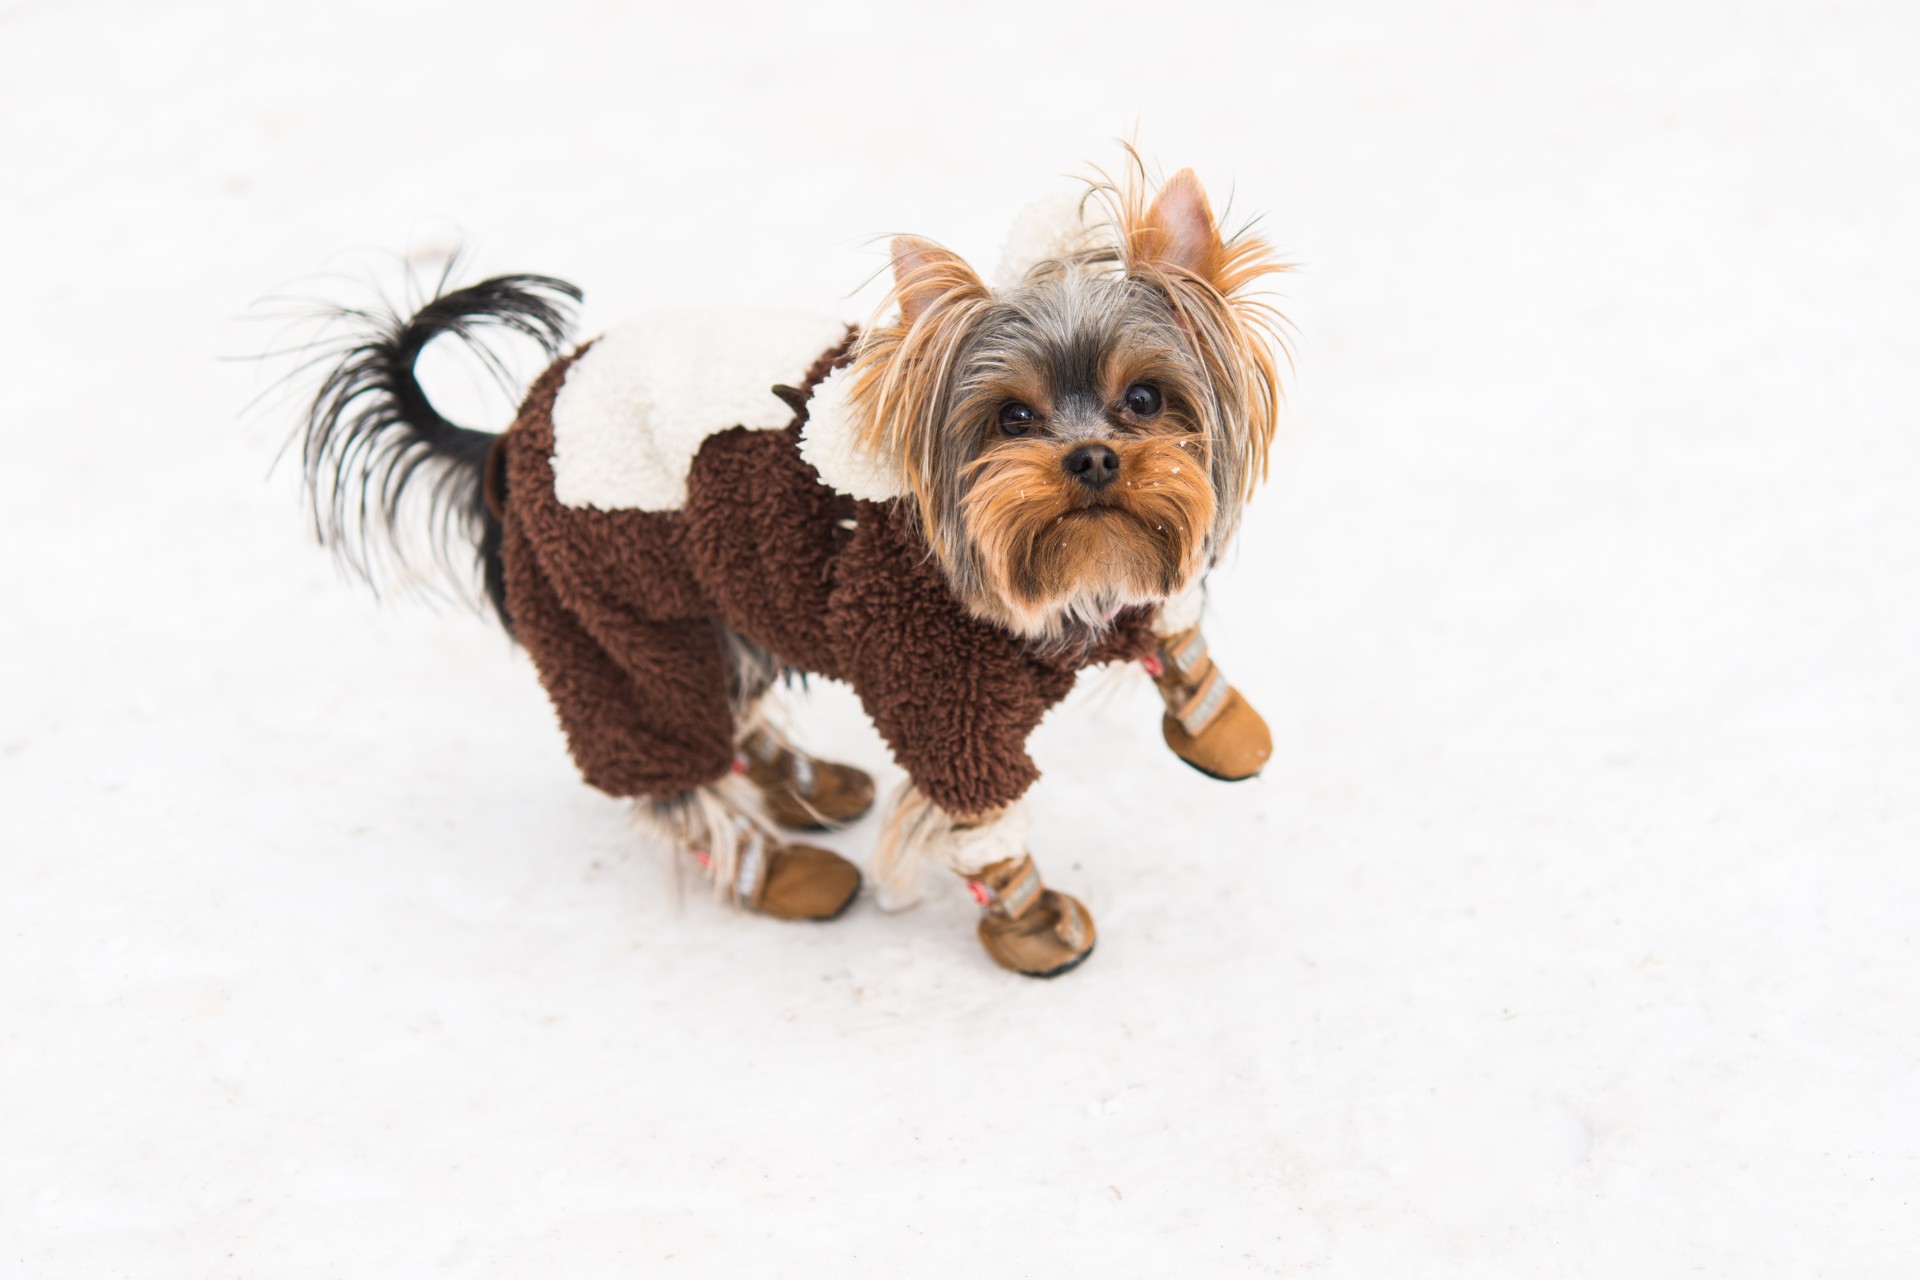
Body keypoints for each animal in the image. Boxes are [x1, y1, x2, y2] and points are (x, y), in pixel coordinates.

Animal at [291, 163, 1290, 982]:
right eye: (1012, 417)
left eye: (1146, 398)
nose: (1090, 458)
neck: (1047, 582)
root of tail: (508, 435)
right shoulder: (937, 694)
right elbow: (983, 820)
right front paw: (1032, 923)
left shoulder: (1135, 577)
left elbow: (1171, 624)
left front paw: (1222, 724)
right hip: (605, 607)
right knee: (671, 762)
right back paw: (777, 869)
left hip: (708, 597)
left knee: (730, 703)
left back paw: (806, 785)